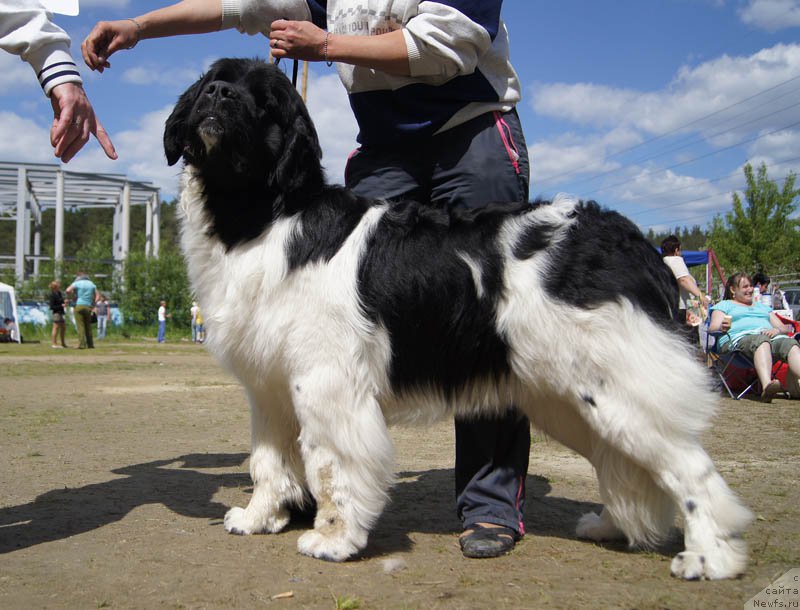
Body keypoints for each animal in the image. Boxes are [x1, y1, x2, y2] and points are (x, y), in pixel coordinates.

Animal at [162, 57, 752, 576]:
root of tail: (633, 241)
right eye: (212, 82)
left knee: (692, 472)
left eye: (263, 102)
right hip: (568, 398)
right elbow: (268, 461)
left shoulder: (328, 385)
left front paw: (333, 539)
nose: (219, 95)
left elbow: (333, 468)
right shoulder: (269, 387)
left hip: (618, 387)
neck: (263, 214)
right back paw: (608, 526)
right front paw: (258, 517)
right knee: (622, 463)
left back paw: (710, 558)